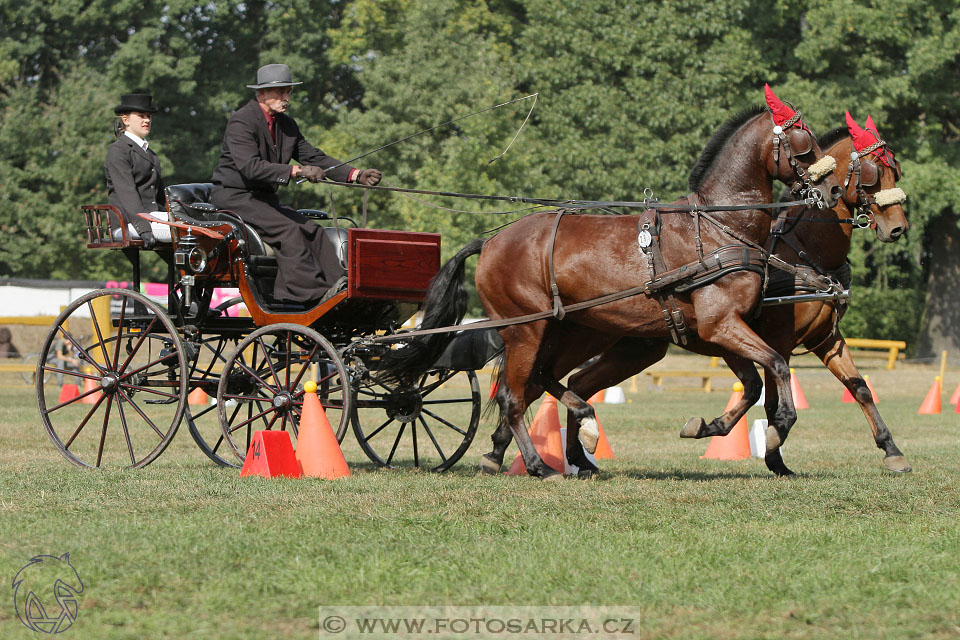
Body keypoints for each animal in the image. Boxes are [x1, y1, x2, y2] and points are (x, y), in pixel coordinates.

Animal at [386, 89, 844, 480]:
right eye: (805, 144)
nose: (833, 189)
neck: (717, 228)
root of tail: (492, 240)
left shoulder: (722, 330)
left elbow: (753, 383)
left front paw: (704, 425)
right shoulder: (721, 326)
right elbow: (778, 365)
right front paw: (778, 428)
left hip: (569, 330)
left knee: (548, 380)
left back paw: (580, 436)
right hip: (527, 330)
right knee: (513, 397)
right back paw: (540, 464)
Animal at [564, 112, 908, 476]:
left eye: (895, 170)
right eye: (872, 173)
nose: (898, 227)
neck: (803, 250)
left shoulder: (825, 338)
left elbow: (860, 388)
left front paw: (892, 450)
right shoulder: (771, 339)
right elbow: (769, 398)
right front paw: (773, 450)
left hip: (636, 348)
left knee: (579, 383)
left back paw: (578, 456)